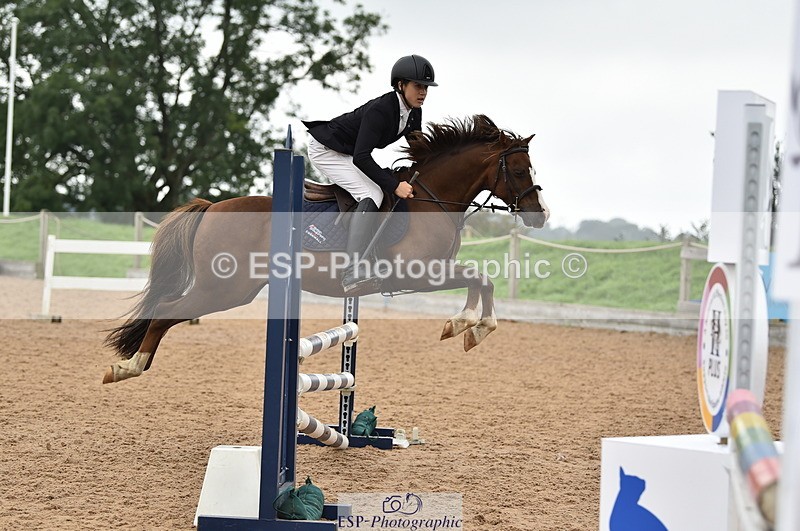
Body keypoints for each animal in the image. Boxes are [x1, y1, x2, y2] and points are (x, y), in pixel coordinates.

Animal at [103, 115, 550, 384]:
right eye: (520, 169)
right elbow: (479, 278)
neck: (430, 199)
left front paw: (470, 328)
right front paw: (465, 326)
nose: (540, 216)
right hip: (223, 289)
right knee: (165, 311)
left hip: (232, 289)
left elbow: (482, 280)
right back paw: (129, 367)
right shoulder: (418, 272)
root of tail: (213, 206)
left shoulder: (435, 270)